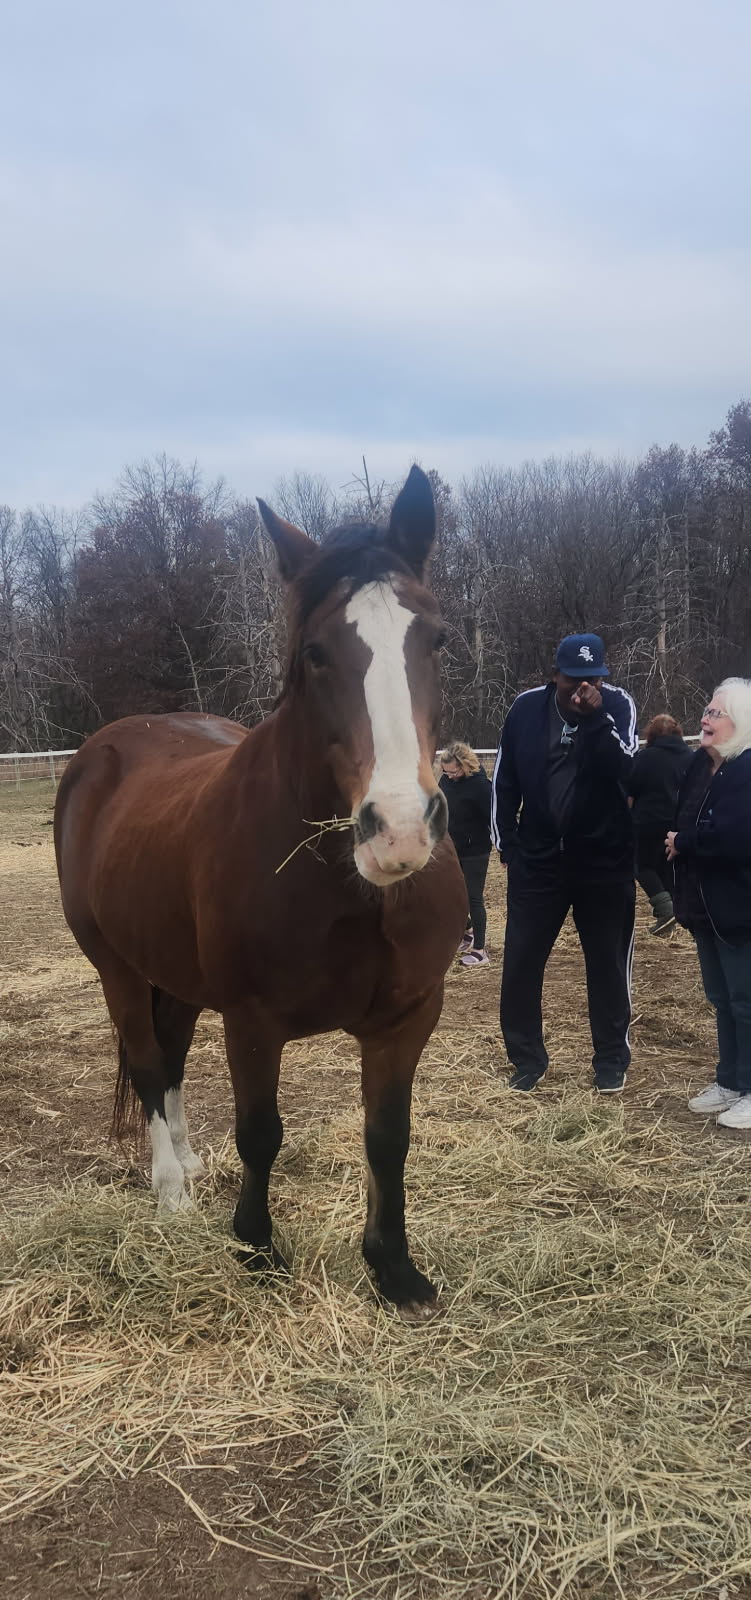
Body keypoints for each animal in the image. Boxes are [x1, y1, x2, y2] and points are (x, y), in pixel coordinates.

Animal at [54, 465, 468, 1316]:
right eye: (315, 653)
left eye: (435, 639)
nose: (397, 830)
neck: (350, 892)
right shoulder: (251, 1022)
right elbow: (261, 1132)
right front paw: (254, 1246)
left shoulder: (406, 1019)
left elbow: (388, 1137)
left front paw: (394, 1267)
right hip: (117, 969)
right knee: (149, 1063)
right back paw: (171, 1190)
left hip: (173, 977)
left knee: (171, 1058)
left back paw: (184, 1162)